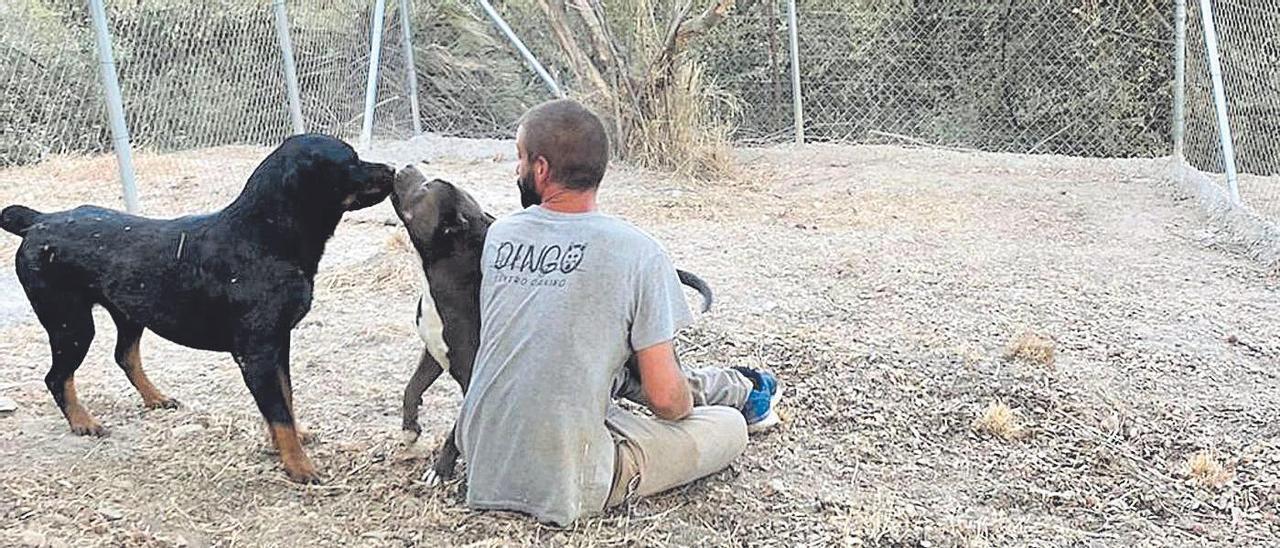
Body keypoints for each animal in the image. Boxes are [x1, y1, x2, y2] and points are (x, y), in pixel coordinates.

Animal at [0, 135, 391, 481]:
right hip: (71, 324)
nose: (391, 168)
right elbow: (278, 410)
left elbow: (286, 398)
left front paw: (291, 440)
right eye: (352, 160)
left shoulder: (279, 343)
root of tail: (37, 221)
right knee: (57, 377)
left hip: (129, 312)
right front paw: (297, 464)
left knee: (124, 355)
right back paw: (83, 421)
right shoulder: (257, 352)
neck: (264, 236)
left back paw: (154, 397)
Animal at [384, 163, 716, 483]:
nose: (407, 165)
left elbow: (456, 429)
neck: (444, 274)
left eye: (427, 187)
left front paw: (441, 468)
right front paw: (410, 430)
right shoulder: (433, 350)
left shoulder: (472, 377)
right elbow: (412, 388)